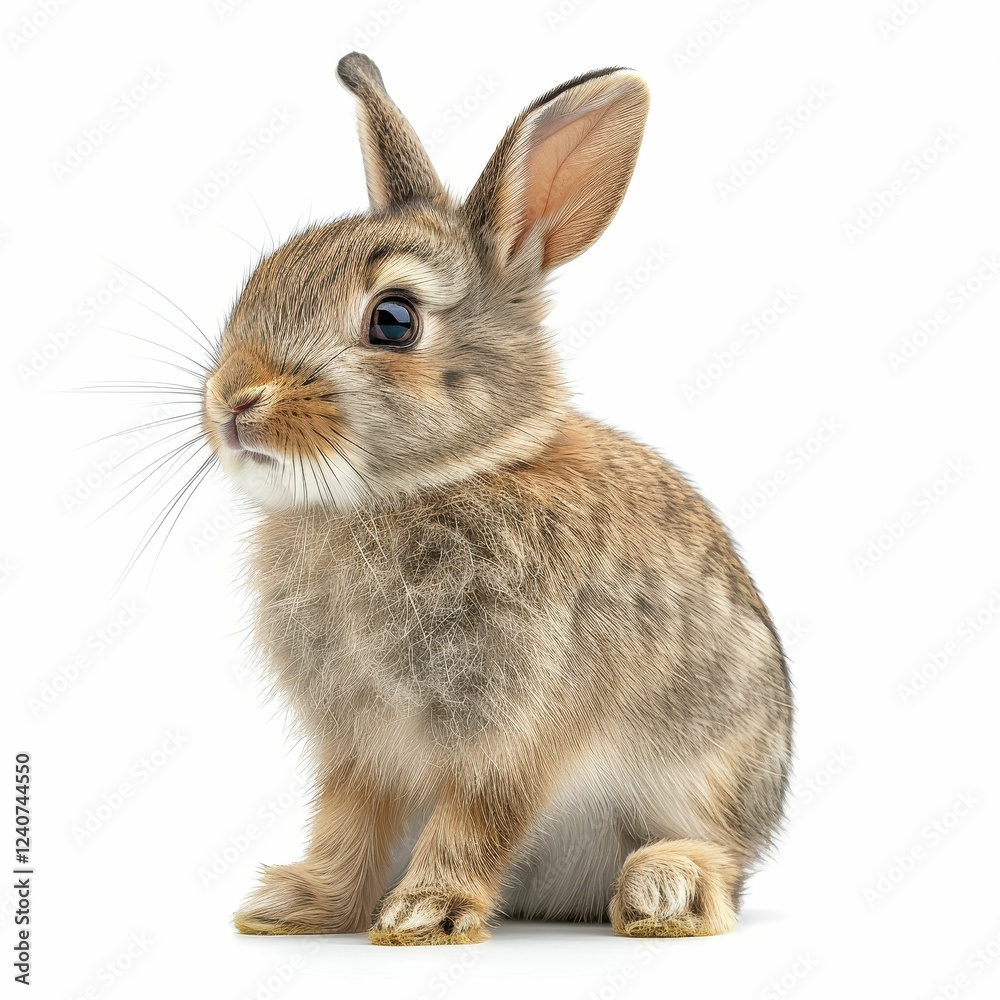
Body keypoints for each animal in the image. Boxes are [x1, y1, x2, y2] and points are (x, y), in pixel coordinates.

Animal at [201, 52, 793, 945]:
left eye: (394, 320)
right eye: (262, 278)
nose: (234, 400)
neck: (422, 485)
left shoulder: (514, 724)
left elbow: (481, 814)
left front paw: (423, 911)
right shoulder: (360, 746)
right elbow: (346, 823)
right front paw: (300, 906)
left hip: (711, 770)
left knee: (720, 856)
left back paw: (665, 889)